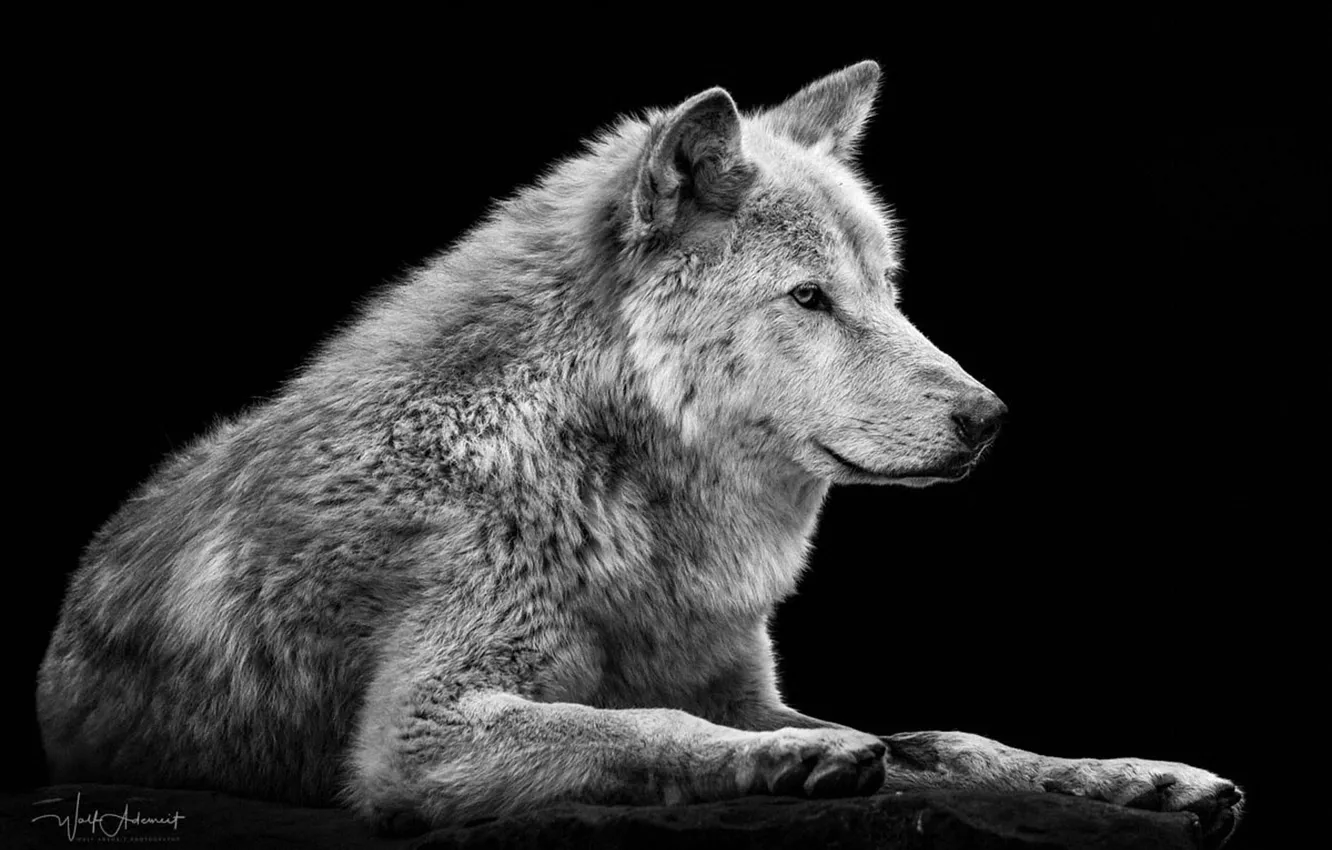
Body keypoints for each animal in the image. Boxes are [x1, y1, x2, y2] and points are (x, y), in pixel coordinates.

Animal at [36, 62, 1243, 846]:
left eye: (889, 291)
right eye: (810, 298)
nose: (988, 416)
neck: (618, 496)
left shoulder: (748, 686)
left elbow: (950, 735)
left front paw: (1138, 776)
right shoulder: (415, 736)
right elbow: (644, 723)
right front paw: (778, 768)